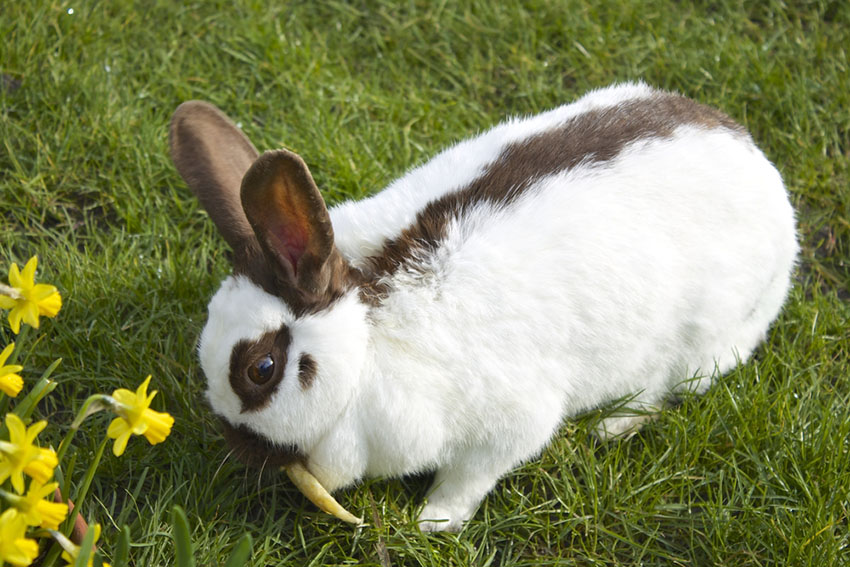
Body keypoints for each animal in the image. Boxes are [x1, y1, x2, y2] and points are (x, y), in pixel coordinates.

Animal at [171, 81, 796, 532]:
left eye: (261, 369)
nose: (240, 448)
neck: (367, 339)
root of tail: (767, 177)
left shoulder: (507, 428)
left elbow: (471, 477)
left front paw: (433, 521)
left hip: (698, 346)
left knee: (665, 392)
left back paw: (611, 426)